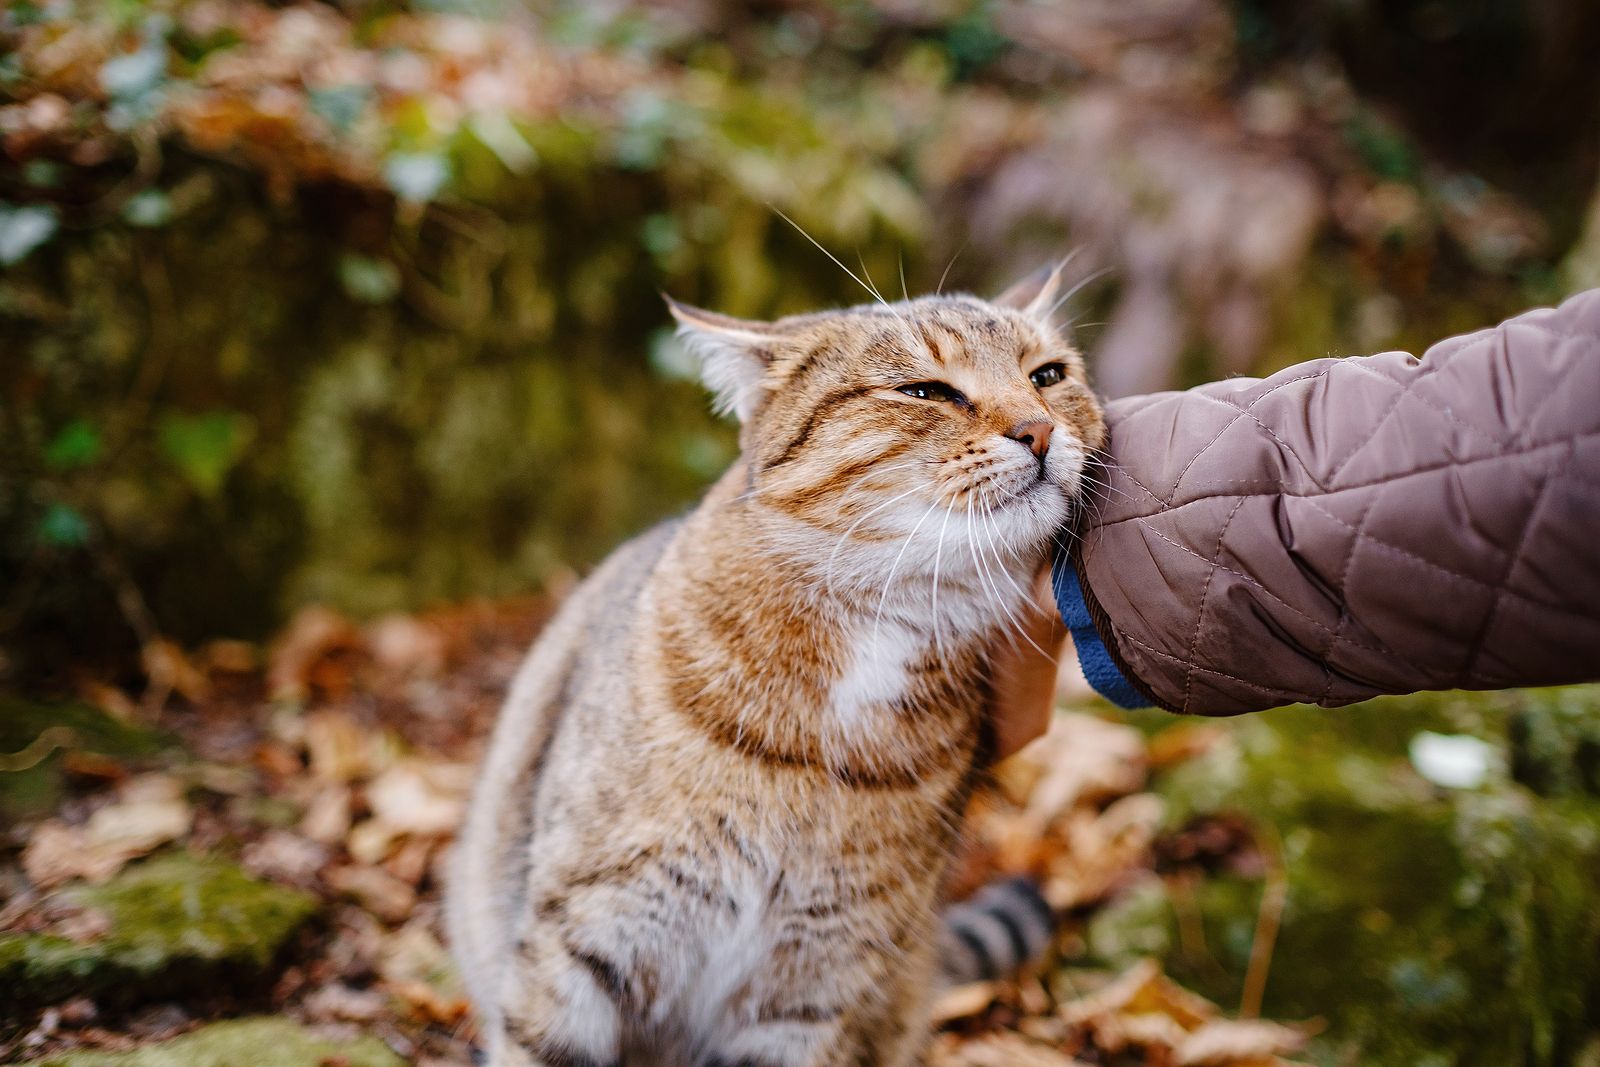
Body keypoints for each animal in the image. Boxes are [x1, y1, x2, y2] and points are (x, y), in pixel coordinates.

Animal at [444, 267, 1107, 1067]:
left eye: (1048, 376)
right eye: (926, 391)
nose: (1038, 428)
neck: (884, 623)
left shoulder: (816, 983)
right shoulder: (586, 933)